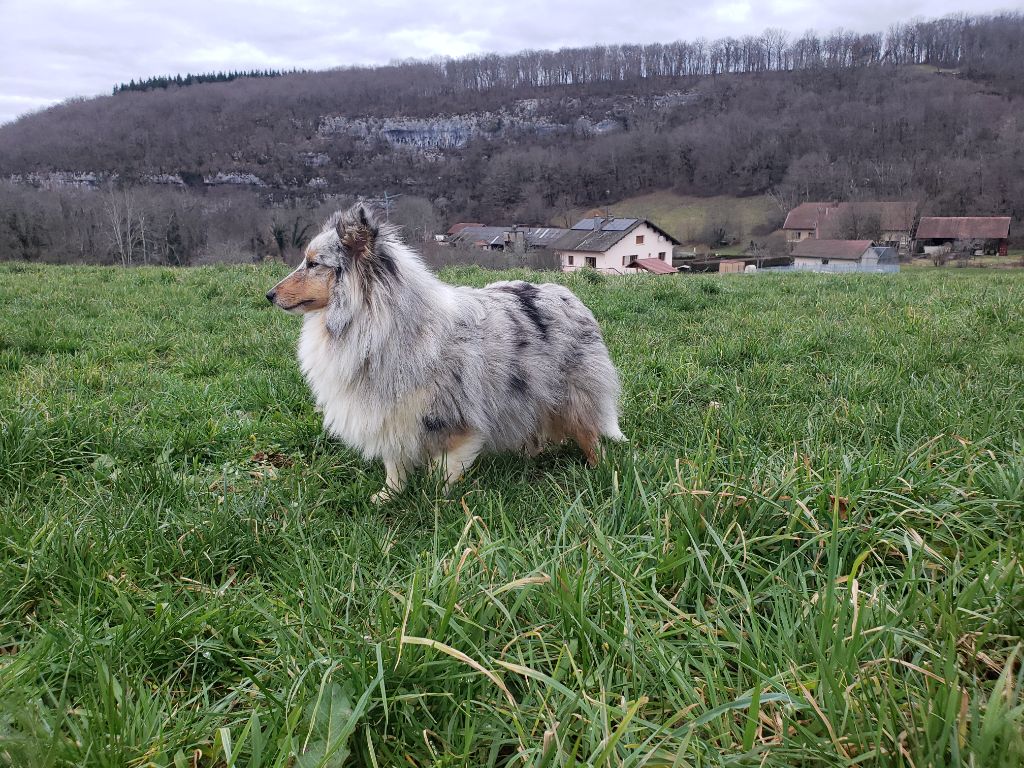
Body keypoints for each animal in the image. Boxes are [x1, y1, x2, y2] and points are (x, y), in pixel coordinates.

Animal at [266, 202, 622, 505]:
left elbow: (444, 469)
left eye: (313, 264)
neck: (383, 322)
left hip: (573, 396)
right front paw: (389, 495)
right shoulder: (390, 415)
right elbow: (394, 463)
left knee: (590, 435)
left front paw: (434, 503)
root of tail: (568, 294)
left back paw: (601, 472)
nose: (269, 295)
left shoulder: (456, 421)